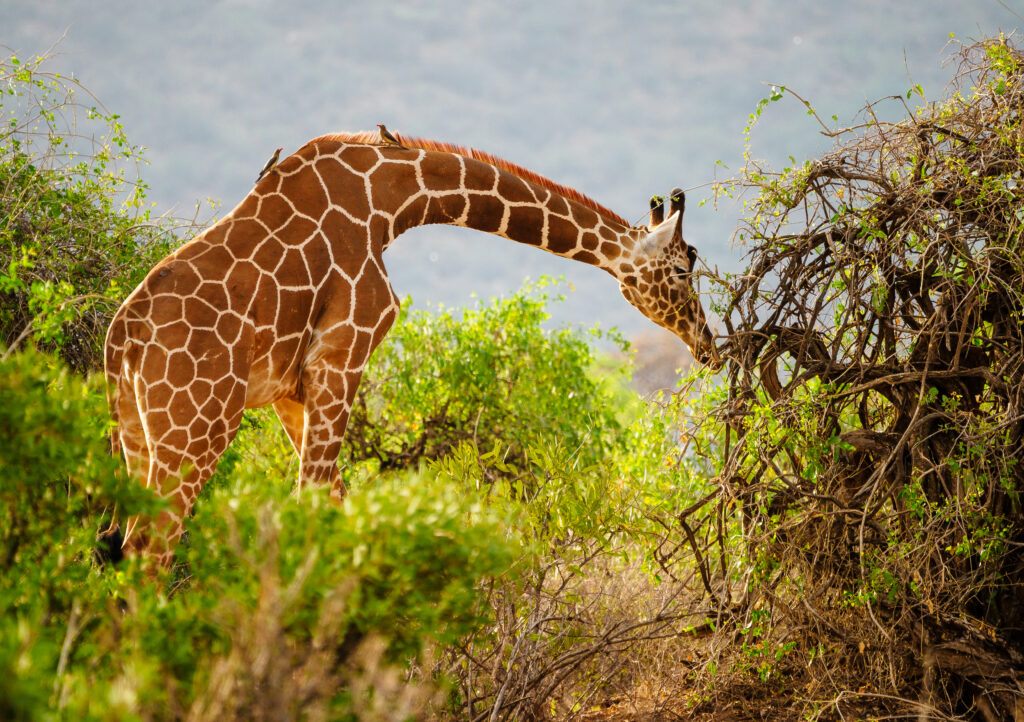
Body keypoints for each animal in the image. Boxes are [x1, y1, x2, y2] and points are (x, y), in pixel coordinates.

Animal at [103, 131, 720, 569]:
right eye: (684, 268)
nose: (708, 345)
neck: (393, 198)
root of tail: (122, 340)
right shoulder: (342, 356)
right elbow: (311, 505)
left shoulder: (288, 389)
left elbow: (336, 504)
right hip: (198, 428)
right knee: (148, 549)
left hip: (136, 434)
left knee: (123, 545)